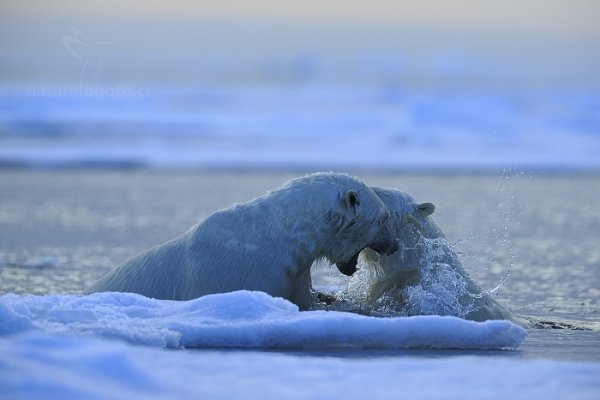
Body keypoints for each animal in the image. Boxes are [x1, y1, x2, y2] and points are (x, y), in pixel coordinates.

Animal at [83, 172, 394, 310]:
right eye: (383, 218)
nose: (393, 245)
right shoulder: (240, 273)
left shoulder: (294, 272)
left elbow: (306, 299)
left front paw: (330, 299)